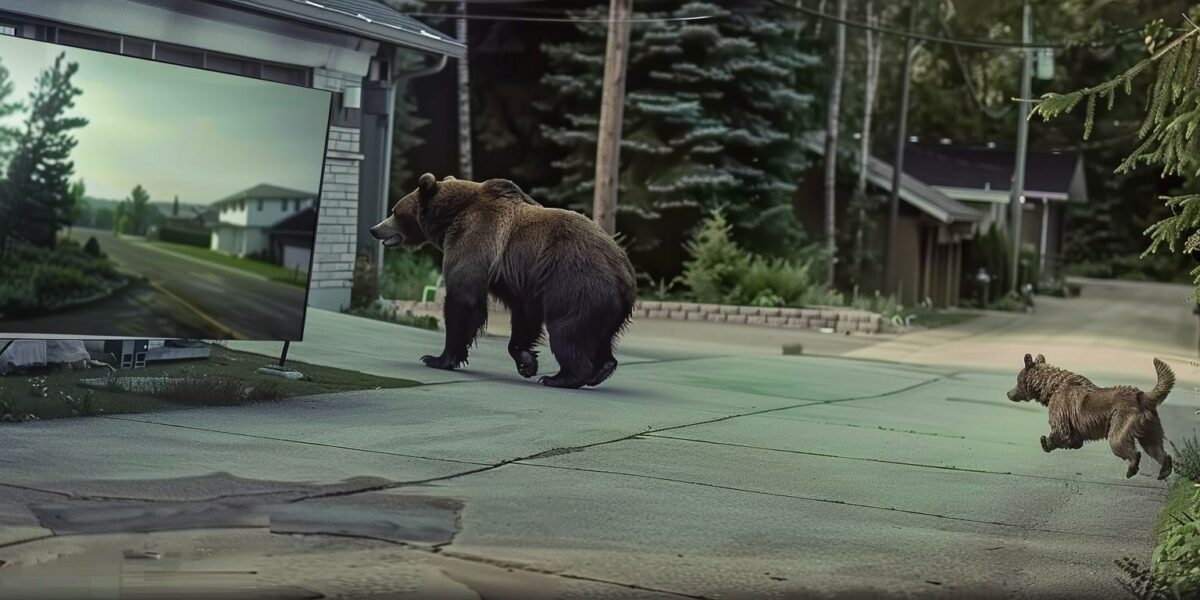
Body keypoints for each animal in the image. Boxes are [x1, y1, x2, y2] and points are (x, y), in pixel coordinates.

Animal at [369, 174, 638, 388]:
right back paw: (601, 369)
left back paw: (561, 378)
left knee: (567, 331)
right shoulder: (523, 281)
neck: (449, 219)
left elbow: (464, 299)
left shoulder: (475, 240)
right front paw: (527, 361)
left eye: (394, 211)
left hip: (577, 287)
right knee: (598, 335)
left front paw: (438, 358)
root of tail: (625, 274)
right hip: (606, 306)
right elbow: (525, 315)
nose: (374, 228)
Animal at [1008, 352, 1176, 480]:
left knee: (1120, 443)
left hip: (1122, 418)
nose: (1009, 393)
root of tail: (1141, 397)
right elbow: (1072, 438)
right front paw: (1070, 444)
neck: (1051, 387)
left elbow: (1061, 431)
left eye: (1017, 380)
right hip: (1150, 427)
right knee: (1154, 448)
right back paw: (1164, 469)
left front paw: (1046, 442)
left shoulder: (1061, 409)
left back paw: (1132, 468)